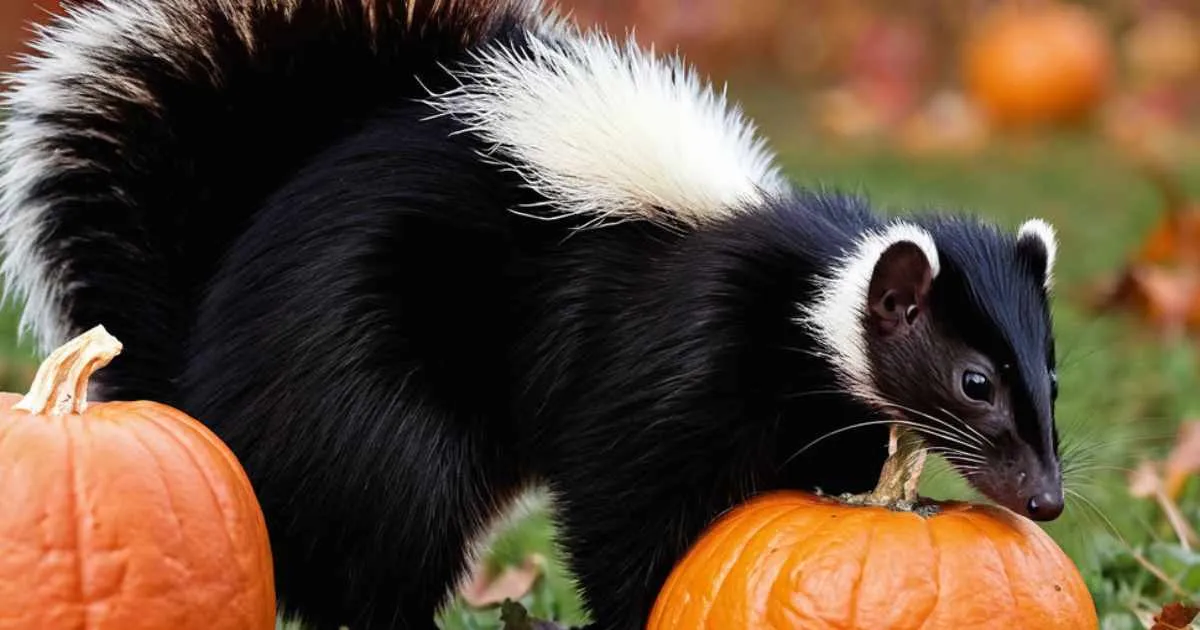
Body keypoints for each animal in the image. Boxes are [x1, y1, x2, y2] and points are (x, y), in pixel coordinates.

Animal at [2, 0, 1070, 624]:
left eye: (1050, 378)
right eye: (974, 381)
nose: (1046, 496)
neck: (804, 287)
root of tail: (198, 370)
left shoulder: (819, 408)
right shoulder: (669, 355)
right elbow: (620, 505)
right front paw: (637, 609)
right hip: (362, 386)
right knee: (396, 509)